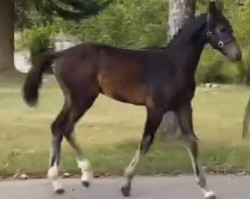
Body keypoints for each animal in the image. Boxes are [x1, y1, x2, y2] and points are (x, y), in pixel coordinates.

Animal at [22, 1, 241, 199]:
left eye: (229, 27)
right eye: (221, 28)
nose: (237, 55)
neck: (173, 65)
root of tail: (59, 54)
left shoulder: (183, 106)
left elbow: (192, 141)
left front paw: (206, 189)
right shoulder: (155, 109)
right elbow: (146, 142)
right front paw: (126, 185)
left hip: (74, 99)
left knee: (61, 127)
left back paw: (78, 178)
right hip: (82, 99)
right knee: (62, 127)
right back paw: (66, 180)